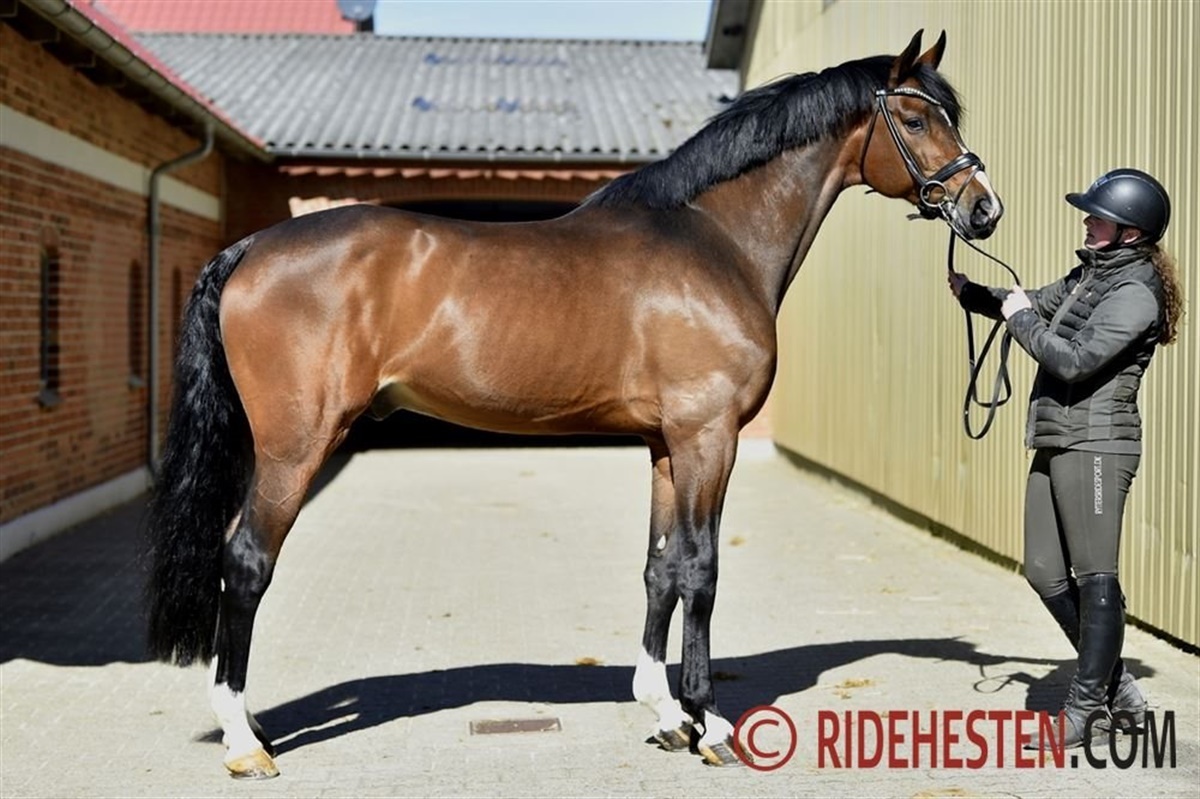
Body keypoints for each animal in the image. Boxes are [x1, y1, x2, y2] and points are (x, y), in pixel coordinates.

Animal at [145, 30, 1003, 778]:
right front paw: (709, 723)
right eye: (917, 117)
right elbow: (702, 568)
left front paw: (663, 711)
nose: (984, 208)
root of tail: (249, 248)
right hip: (295, 446)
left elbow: (661, 567)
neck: (712, 240)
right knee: (245, 562)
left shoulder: (666, 443)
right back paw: (244, 742)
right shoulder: (709, 435)